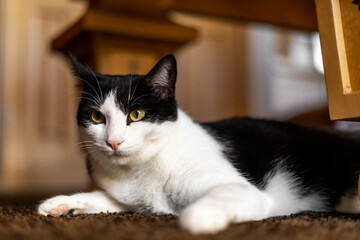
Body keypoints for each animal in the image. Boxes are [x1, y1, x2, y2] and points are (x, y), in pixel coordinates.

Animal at [38, 54, 360, 234]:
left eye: (136, 114)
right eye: (96, 117)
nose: (113, 141)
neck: (142, 169)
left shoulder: (244, 191)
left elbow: (221, 196)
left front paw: (195, 218)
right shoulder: (128, 200)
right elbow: (103, 199)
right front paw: (61, 204)